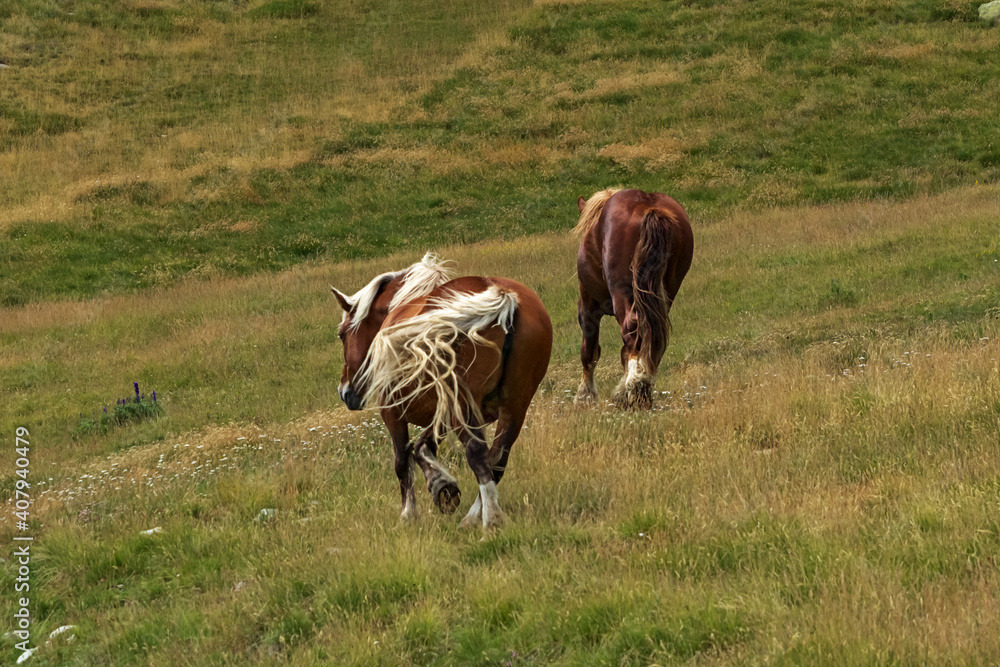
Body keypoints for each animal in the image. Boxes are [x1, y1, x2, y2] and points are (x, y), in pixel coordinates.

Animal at [334, 253, 556, 528]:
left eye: (342, 334)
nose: (344, 391)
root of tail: (502, 296)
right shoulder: (444, 414)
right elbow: (422, 447)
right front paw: (443, 487)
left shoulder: (394, 413)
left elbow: (402, 461)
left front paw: (409, 513)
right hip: (514, 407)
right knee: (497, 459)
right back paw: (475, 515)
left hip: (463, 408)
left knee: (478, 455)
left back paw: (490, 518)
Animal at [576, 187, 692, 408]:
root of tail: (650, 206)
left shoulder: (588, 305)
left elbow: (589, 351)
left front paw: (585, 396)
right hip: (665, 292)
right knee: (653, 338)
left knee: (633, 329)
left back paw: (636, 386)